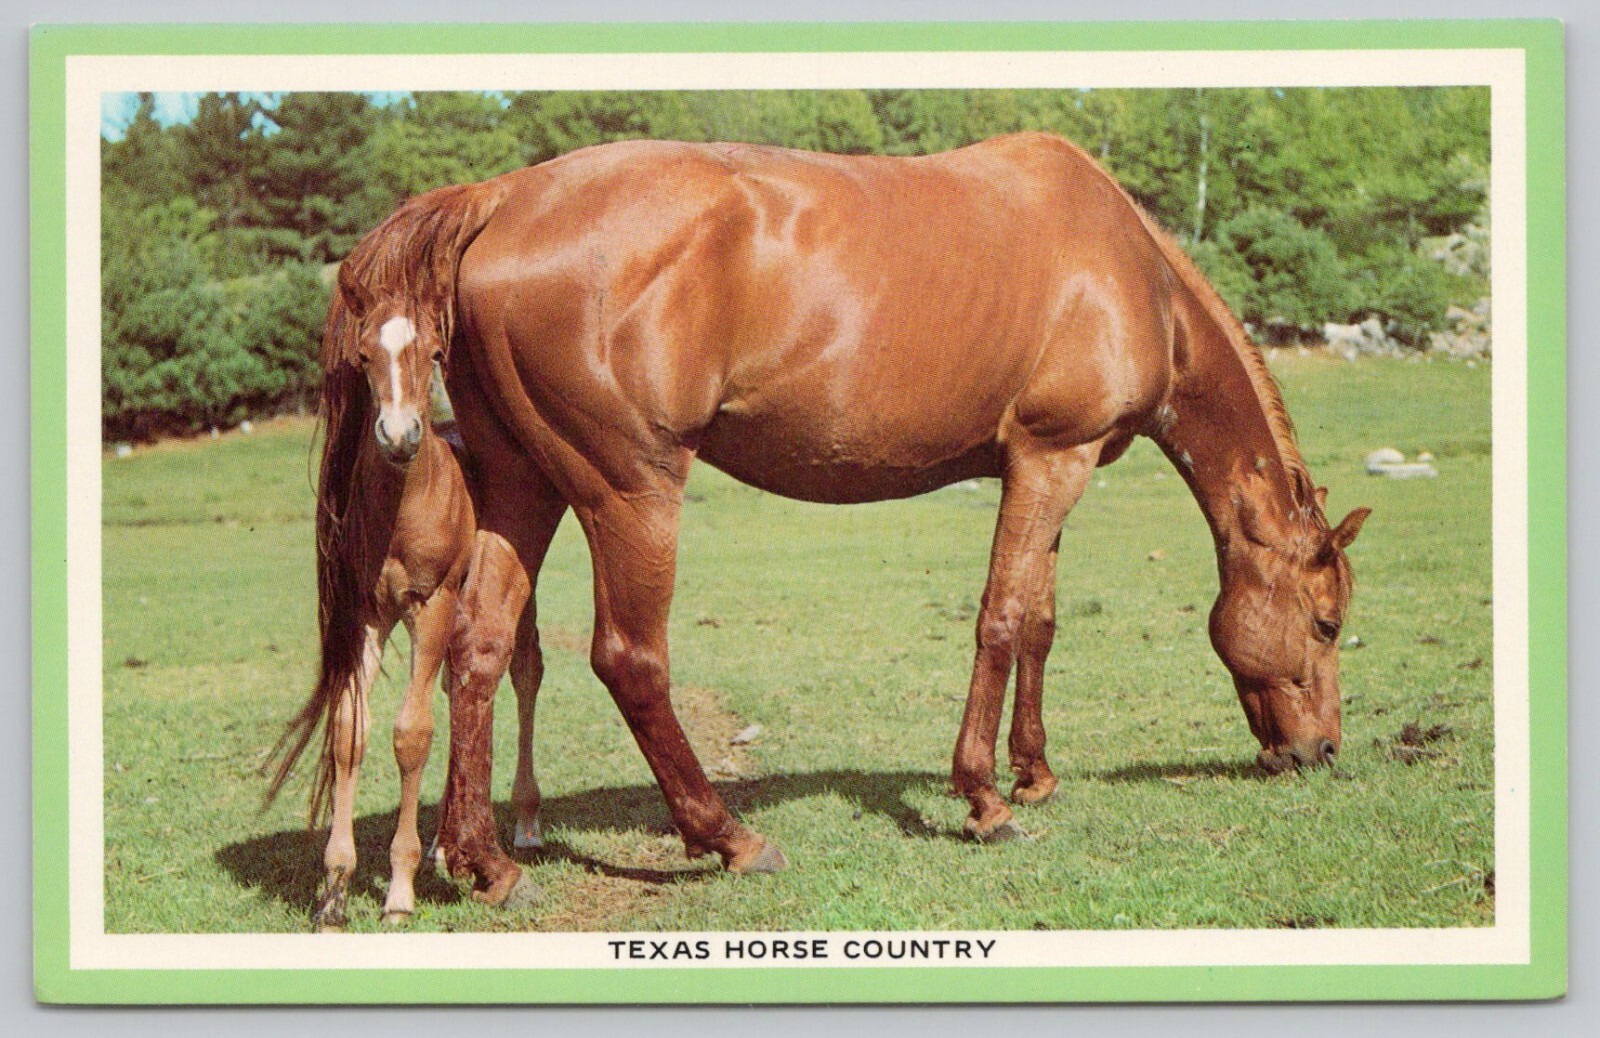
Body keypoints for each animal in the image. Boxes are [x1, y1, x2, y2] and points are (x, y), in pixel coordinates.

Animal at [264, 290, 491, 928]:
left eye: (436, 352)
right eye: (363, 356)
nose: (397, 436)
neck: (404, 510)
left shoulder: (431, 608)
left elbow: (412, 734)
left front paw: (400, 892)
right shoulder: (367, 615)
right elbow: (349, 730)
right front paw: (335, 890)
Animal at [327, 131, 1371, 906]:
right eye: (1327, 623)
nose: (1319, 751)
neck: (1128, 271)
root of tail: (503, 197)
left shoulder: (1052, 470)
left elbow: (1038, 621)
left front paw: (1033, 772)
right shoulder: (1049, 460)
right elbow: (1000, 621)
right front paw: (984, 799)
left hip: (524, 487)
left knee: (480, 648)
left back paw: (487, 862)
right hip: (629, 491)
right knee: (630, 659)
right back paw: (730, 837)